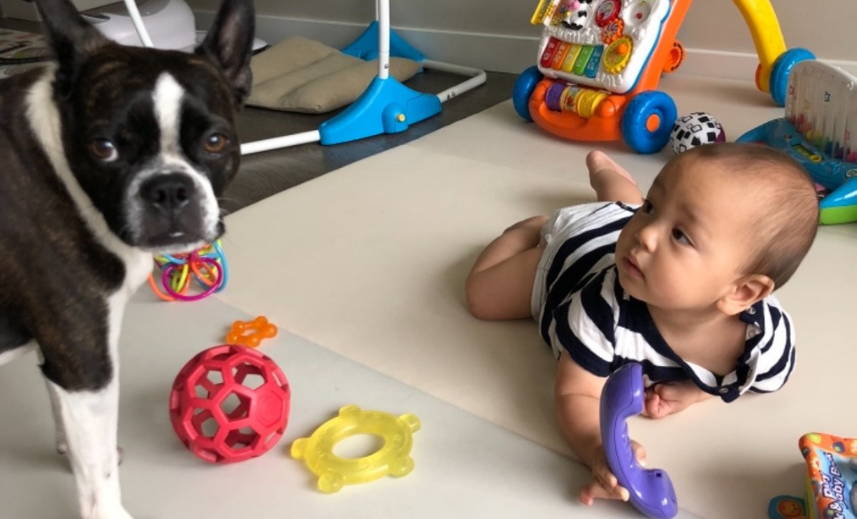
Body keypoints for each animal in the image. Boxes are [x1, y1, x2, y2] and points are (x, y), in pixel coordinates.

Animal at [0, 0, 254, 516]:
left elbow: (62, 408)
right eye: (105, 148)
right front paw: (109, 508)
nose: (169, 188)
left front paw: (67, 446)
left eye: (215, 142)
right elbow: (97, 473)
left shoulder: (63, 353)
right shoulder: (87, 362)